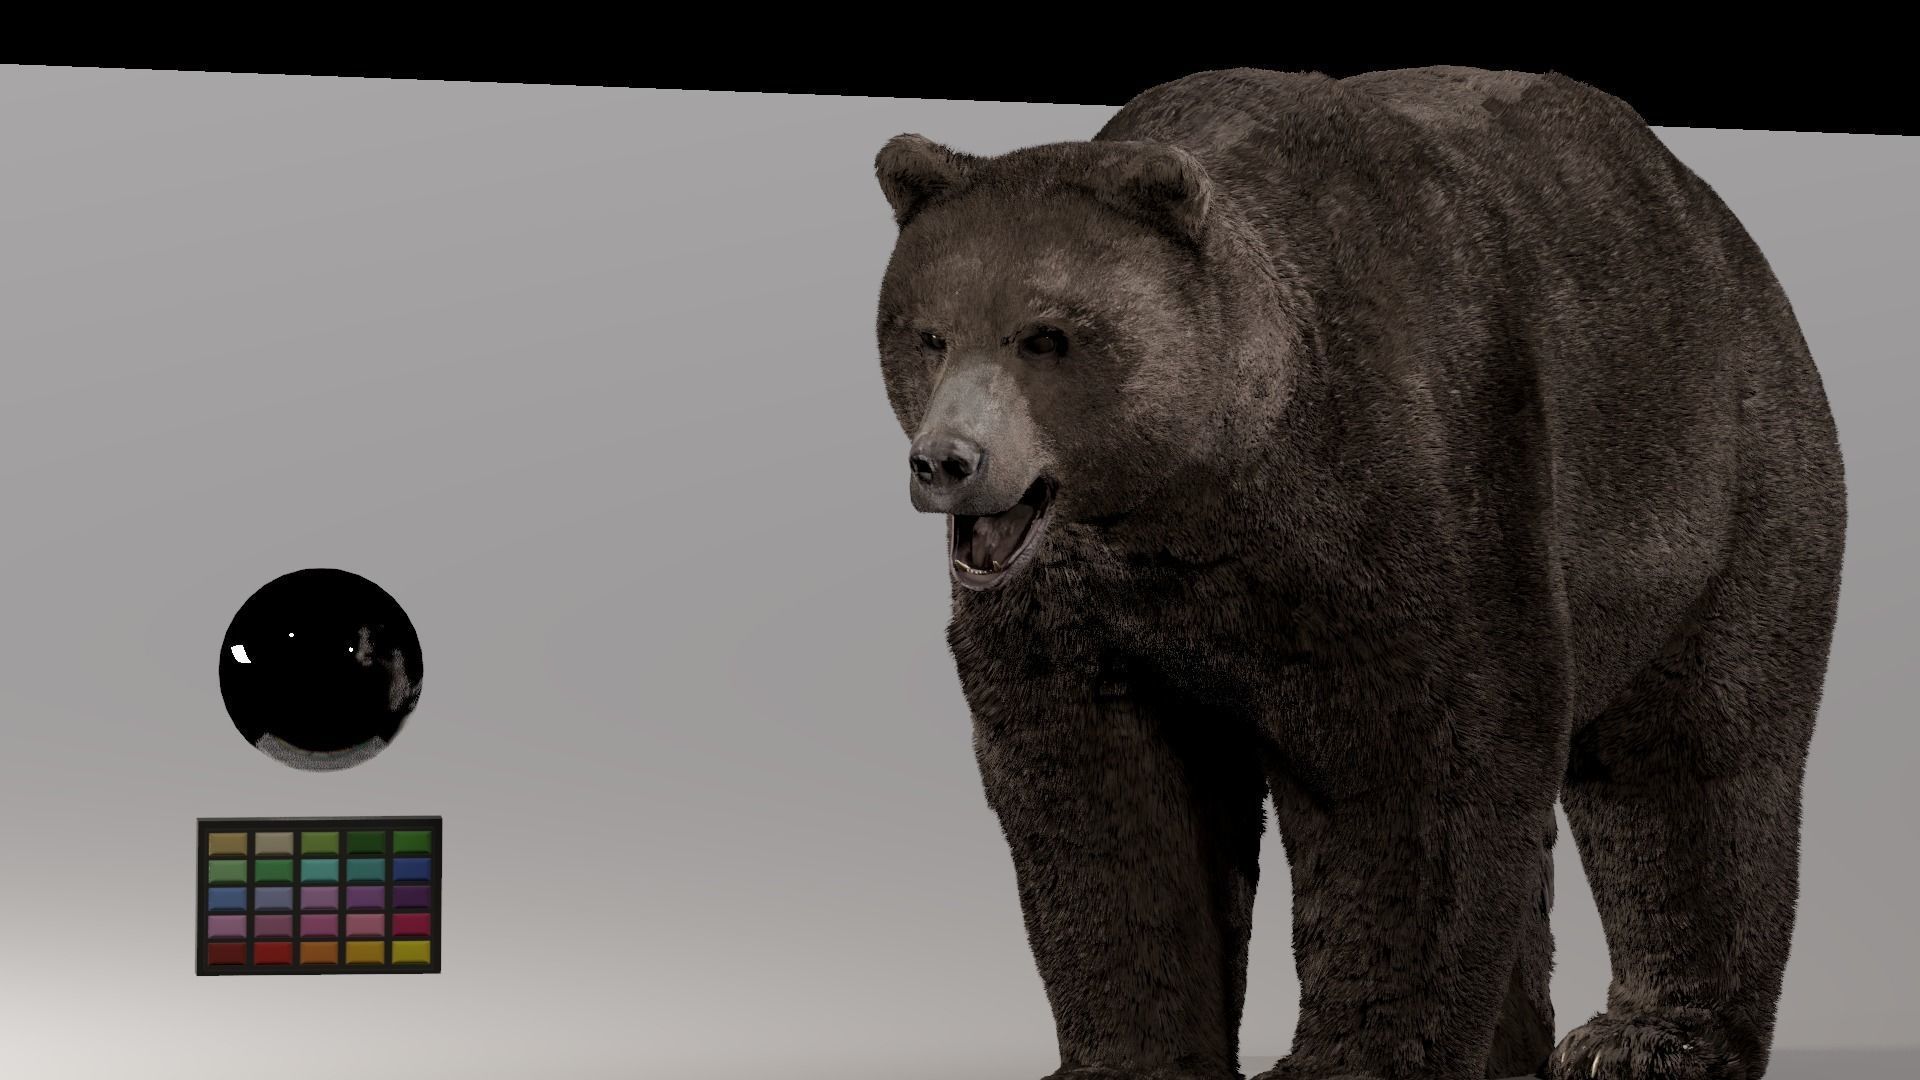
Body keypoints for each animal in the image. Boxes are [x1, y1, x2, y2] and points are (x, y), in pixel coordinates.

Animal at [870, 66, 1847, 1080]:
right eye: (927, 333)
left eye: (1046, 336)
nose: (946, 461)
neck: (1197, 498)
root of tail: (1717, 218)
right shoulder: (1080, 607)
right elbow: (1103, 790)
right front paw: (1130, 1055)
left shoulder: (1407, 489)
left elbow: (1418, 762)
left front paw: (1350, 1056)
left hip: (1718, 481)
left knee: (1693, 754)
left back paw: (1645, 1039)